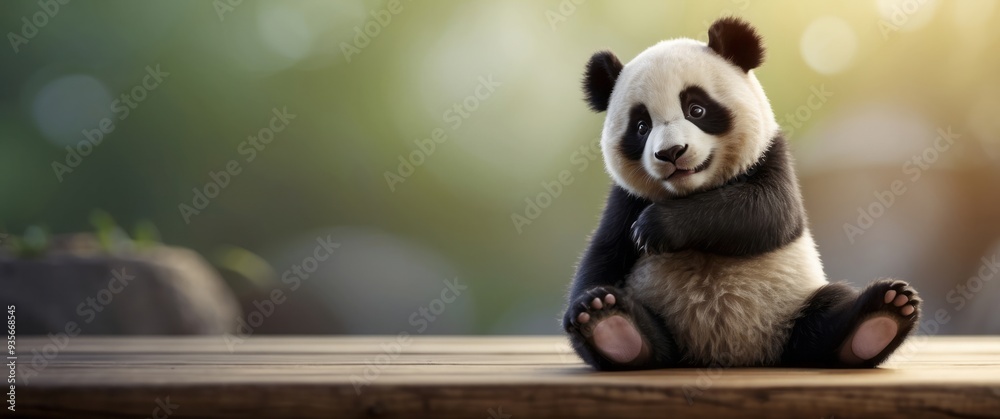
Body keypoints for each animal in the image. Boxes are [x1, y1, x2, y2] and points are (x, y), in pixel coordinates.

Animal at [562, 17, 920, 370]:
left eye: (696, 109)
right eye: (641, 126)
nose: (672, 152)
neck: (692, 190)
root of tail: (736, 352)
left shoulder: (770, 154)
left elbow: (767, 212)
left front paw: (655, 227)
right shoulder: (626, 199)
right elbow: (604, 251)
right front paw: (590, 306)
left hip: (792, 305)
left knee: (825, 319)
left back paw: (883, 314)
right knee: (653, 344)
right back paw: (612, 327)